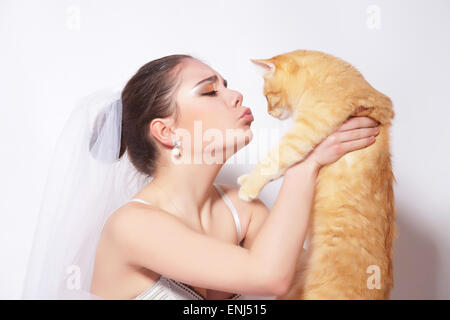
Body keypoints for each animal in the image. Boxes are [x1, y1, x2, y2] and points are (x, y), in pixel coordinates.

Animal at [237, 48, 396, 298]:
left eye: (268, 96)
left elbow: (274, 160)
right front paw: (245, 179)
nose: (269, 113)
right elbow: (285, 167)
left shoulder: (305, 129)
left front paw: (248, 187)